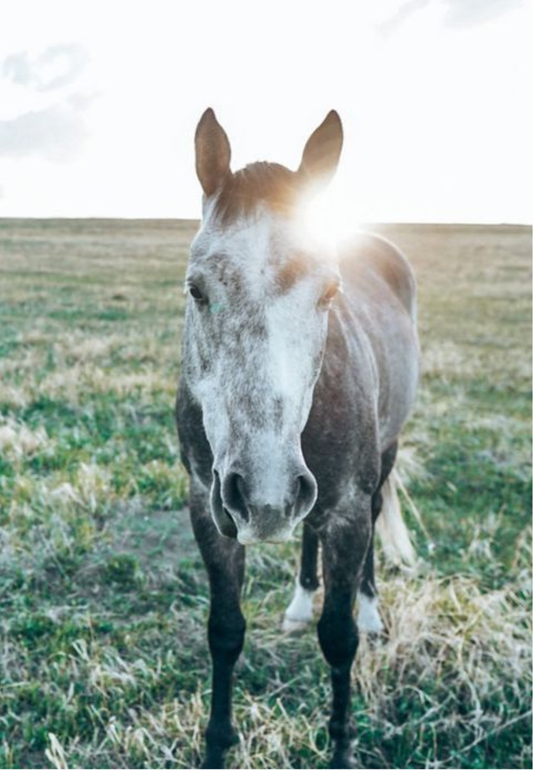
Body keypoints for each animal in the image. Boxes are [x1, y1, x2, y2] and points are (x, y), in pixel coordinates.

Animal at [176, 108, 419, 769]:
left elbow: (338, 638)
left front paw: (341, 746)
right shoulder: (207, 508)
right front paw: (216, 745)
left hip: (378, 462)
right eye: (197, 289)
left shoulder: (347, 510)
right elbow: (224, 630)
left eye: (330, 291)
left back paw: (371, 611)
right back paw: (299, 601)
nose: (265, 492)